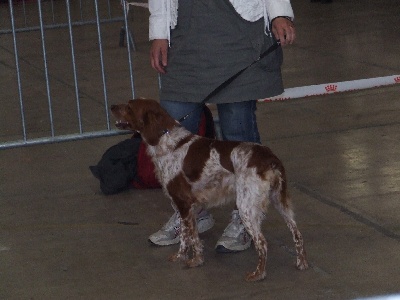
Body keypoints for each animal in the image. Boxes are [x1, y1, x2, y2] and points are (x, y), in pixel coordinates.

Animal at [111, 98, 308, 282]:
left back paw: (258, 274)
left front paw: (182, 257)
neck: (167, 141)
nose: (112, 107)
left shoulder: (183, 203)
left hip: (246, 206)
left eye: (129, 106)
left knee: (262, 242)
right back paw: (301, 263)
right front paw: (197, 259)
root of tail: (269, 158)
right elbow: (194, 236)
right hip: (280, 201)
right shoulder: (193, 207)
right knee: (297, 233)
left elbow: (186, 237)